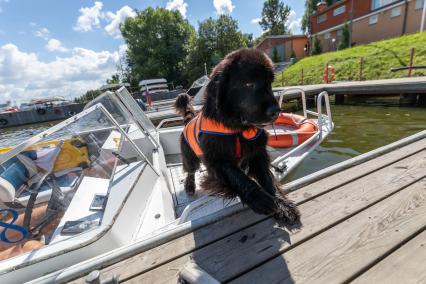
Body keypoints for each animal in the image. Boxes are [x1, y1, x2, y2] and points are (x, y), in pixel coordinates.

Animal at [175, 47, 302, 223]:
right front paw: (261, 200)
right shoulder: (217, 161)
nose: (276, 111)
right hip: (190, 156)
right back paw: (189, 185)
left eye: (269, 83)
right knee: (190, 170)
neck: (237, 129)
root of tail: (189, 119)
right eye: (249, 84)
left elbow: (267, 178)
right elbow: (239, 177)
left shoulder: (257, 153)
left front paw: (283, 205)